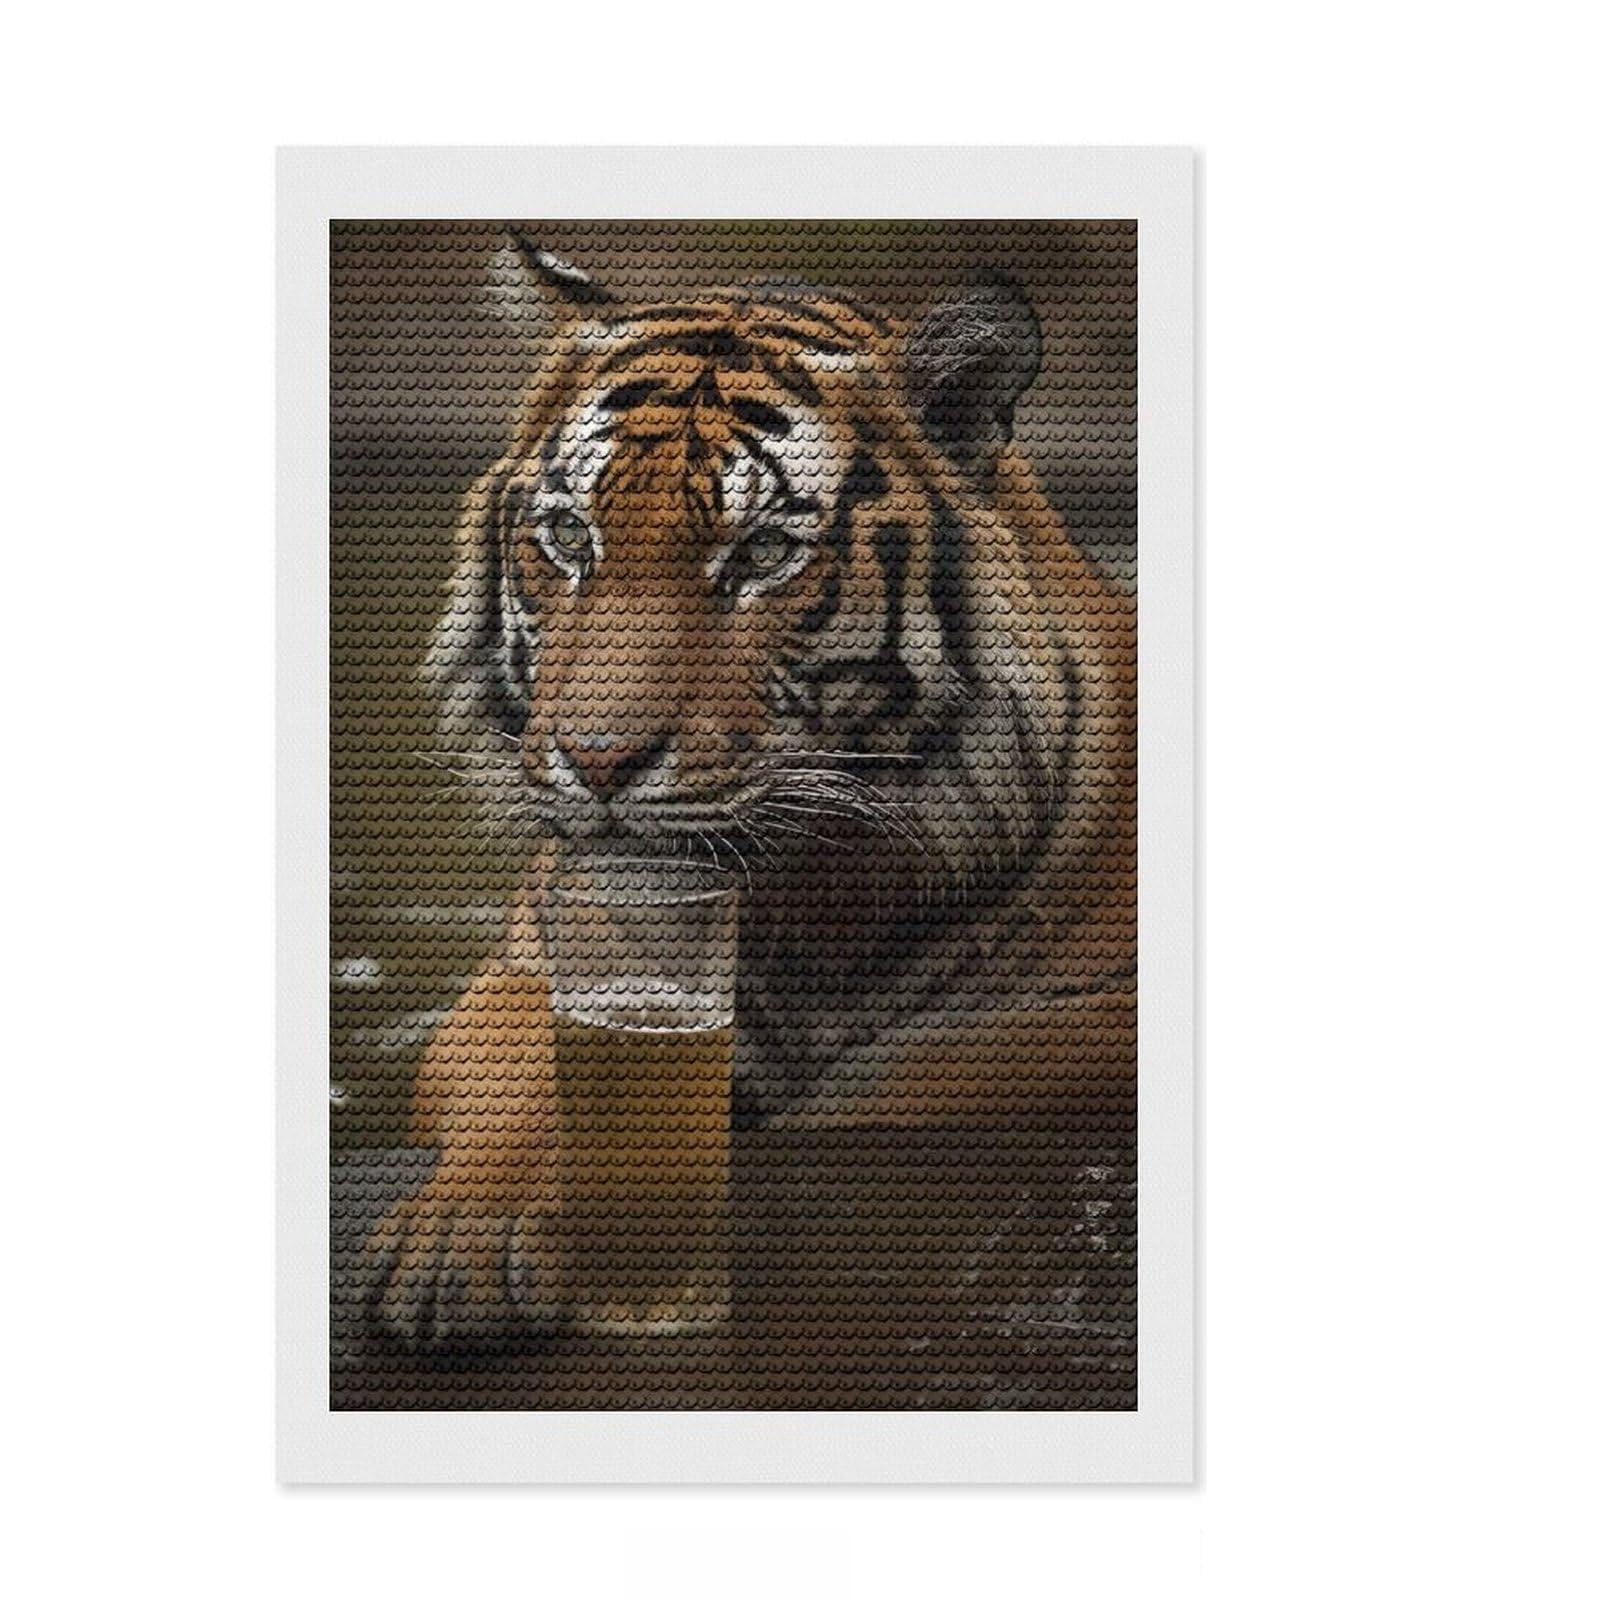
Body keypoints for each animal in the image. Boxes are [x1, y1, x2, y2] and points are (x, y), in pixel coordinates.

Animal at [364, 233, 1136, 1349]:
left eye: (763, 553)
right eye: (570, 538)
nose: (598, 759)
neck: (803, 911)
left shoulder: (1096, 1018)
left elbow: (919, 1080)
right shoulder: (527, 967)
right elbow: (526, 1068)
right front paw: (464, 1235)